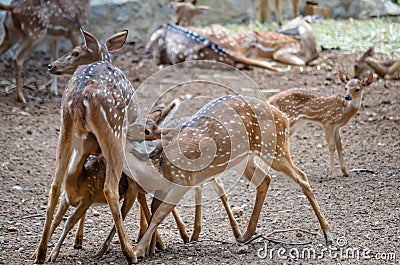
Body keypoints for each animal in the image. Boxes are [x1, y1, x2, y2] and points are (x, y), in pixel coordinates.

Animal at [123, 94, 332, 260]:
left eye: (146, 131)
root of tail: (284, 118)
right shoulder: (163, 188)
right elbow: (153, 212)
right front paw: (149, 249)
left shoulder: (182, 181)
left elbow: (158, 215)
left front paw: (137, 251)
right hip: (245, 159)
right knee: (265, 180)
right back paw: (246, 235)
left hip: (276, 148)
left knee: (302, 176)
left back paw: (327, 233)